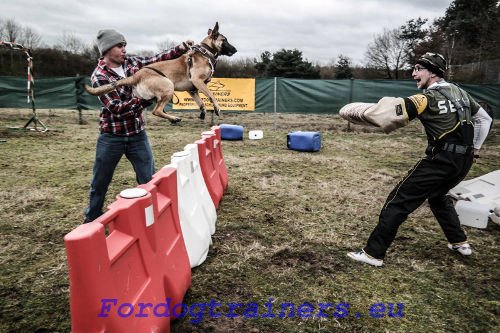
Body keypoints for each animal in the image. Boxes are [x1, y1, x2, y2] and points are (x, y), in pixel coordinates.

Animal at [84, 22, 236, 123]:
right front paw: (217, 108)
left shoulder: (193, 89)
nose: (235, 50)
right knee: (156, 110)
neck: (205, 52)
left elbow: (201, 102)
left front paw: (203, 112)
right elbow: (211, 95)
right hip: (168, 86)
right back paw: (174, 118)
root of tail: (136, 76)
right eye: (225, 40)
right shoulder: (198, 81)